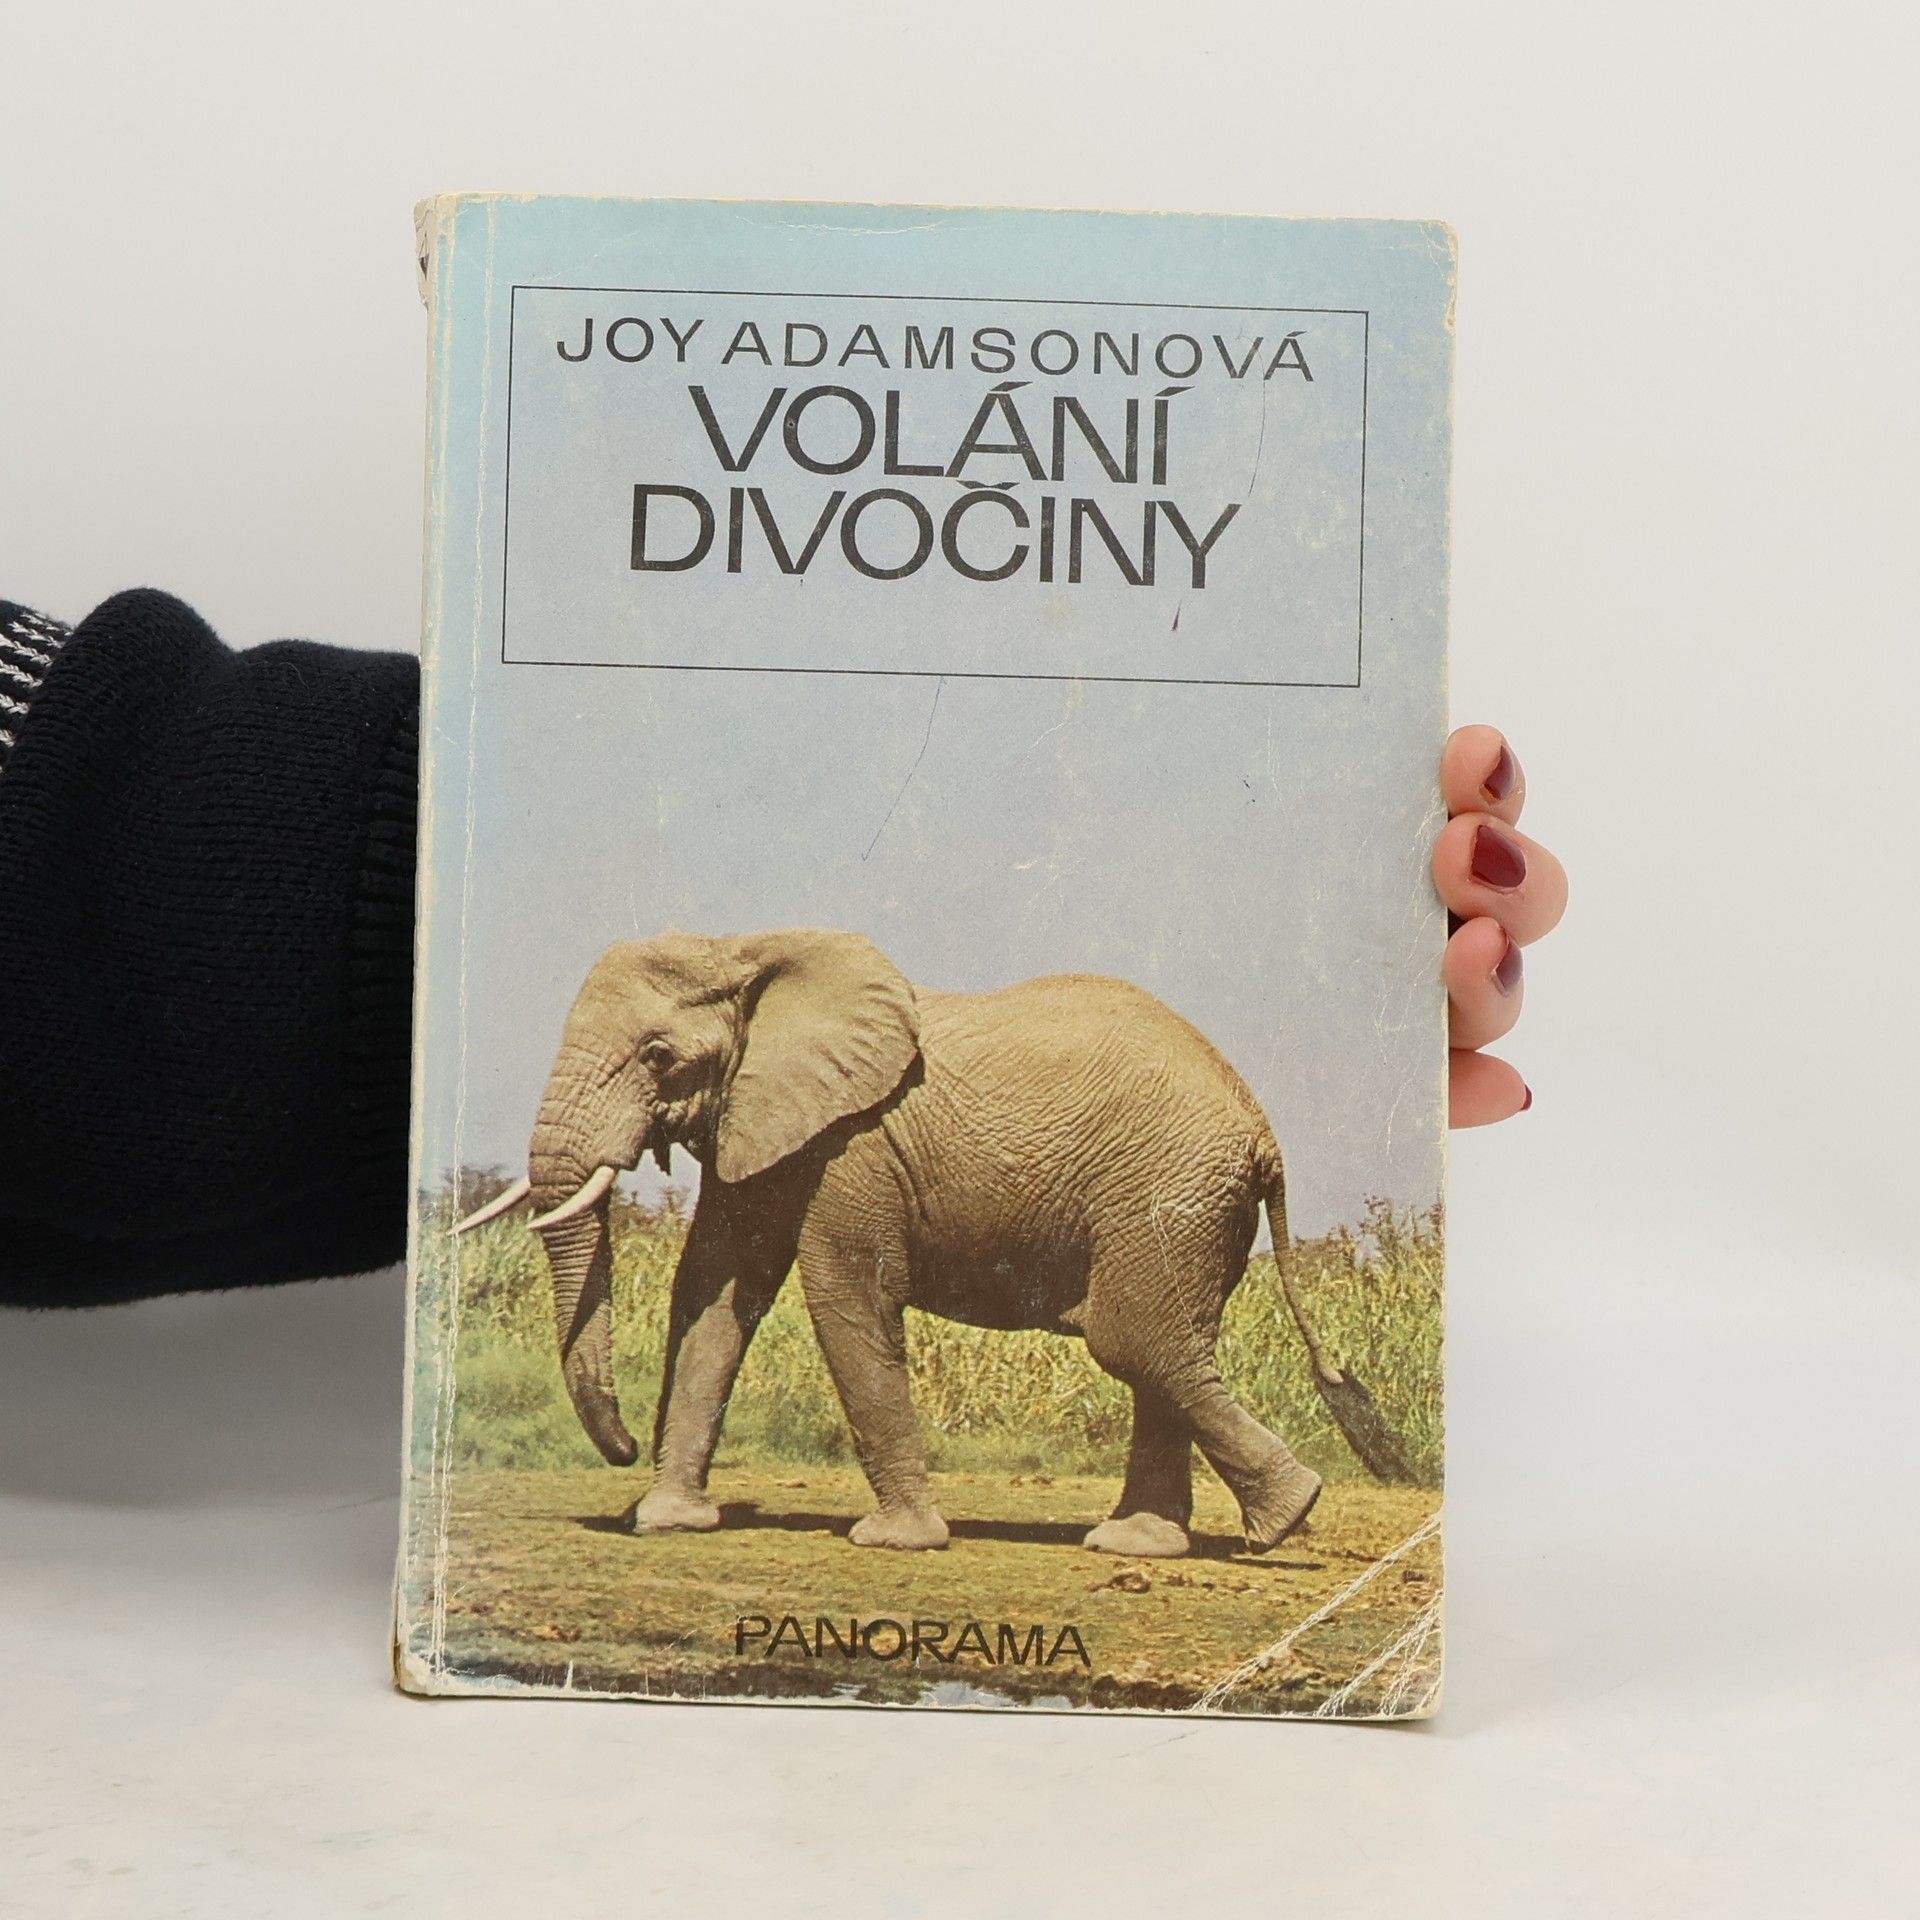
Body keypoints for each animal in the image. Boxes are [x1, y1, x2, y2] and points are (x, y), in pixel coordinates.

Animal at [456, 928, 1407, 1557]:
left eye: (657, 1055)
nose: (618, 1449)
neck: (747, 946)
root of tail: (1262, 1132)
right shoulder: (760, 1120)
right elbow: (714, 1295)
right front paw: (668, 1523)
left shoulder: (855, 1145)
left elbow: (844, 1296)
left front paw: (891, 1542)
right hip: (1186, 1208)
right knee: (1163, 1348)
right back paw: (1138, 1545)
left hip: (1166, 1193)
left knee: (1135, 1340)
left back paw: (1285, 1518)